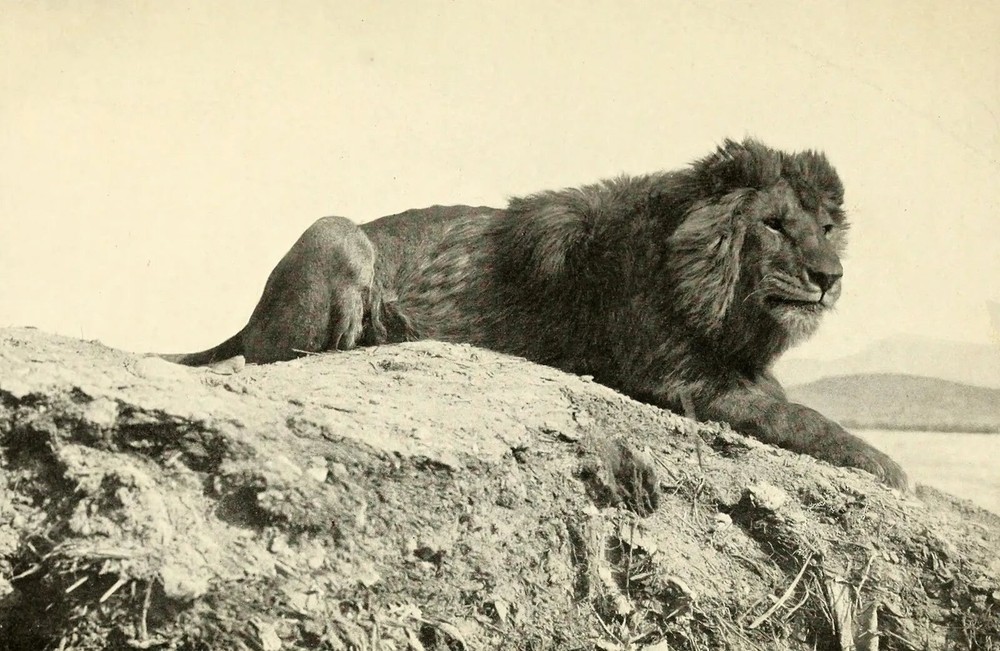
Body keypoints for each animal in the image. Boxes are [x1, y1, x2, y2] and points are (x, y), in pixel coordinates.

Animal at [163, 138, 908, 489]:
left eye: (828, 226)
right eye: (775, 225)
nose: (829, 278)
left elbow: (793, 405)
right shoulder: (676, 379)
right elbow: (802, 418)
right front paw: (891, 467)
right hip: (335, 232)